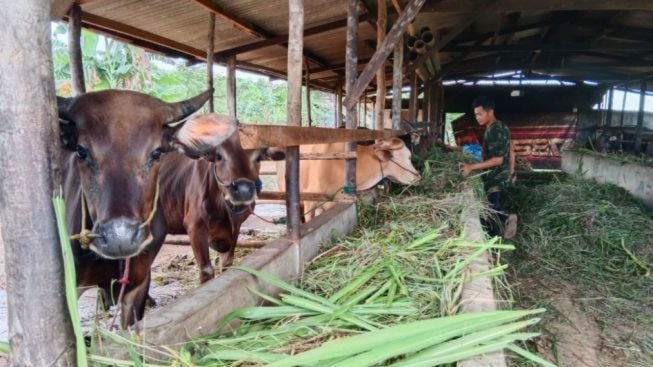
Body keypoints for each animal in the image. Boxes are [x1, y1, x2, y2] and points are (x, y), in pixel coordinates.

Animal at [159, 116, 284, 284]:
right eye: (219, 156)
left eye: (258, 158)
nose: (243, 190)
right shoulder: (194, 227)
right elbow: (206, 271)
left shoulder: (234, 229)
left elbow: (227, 264)